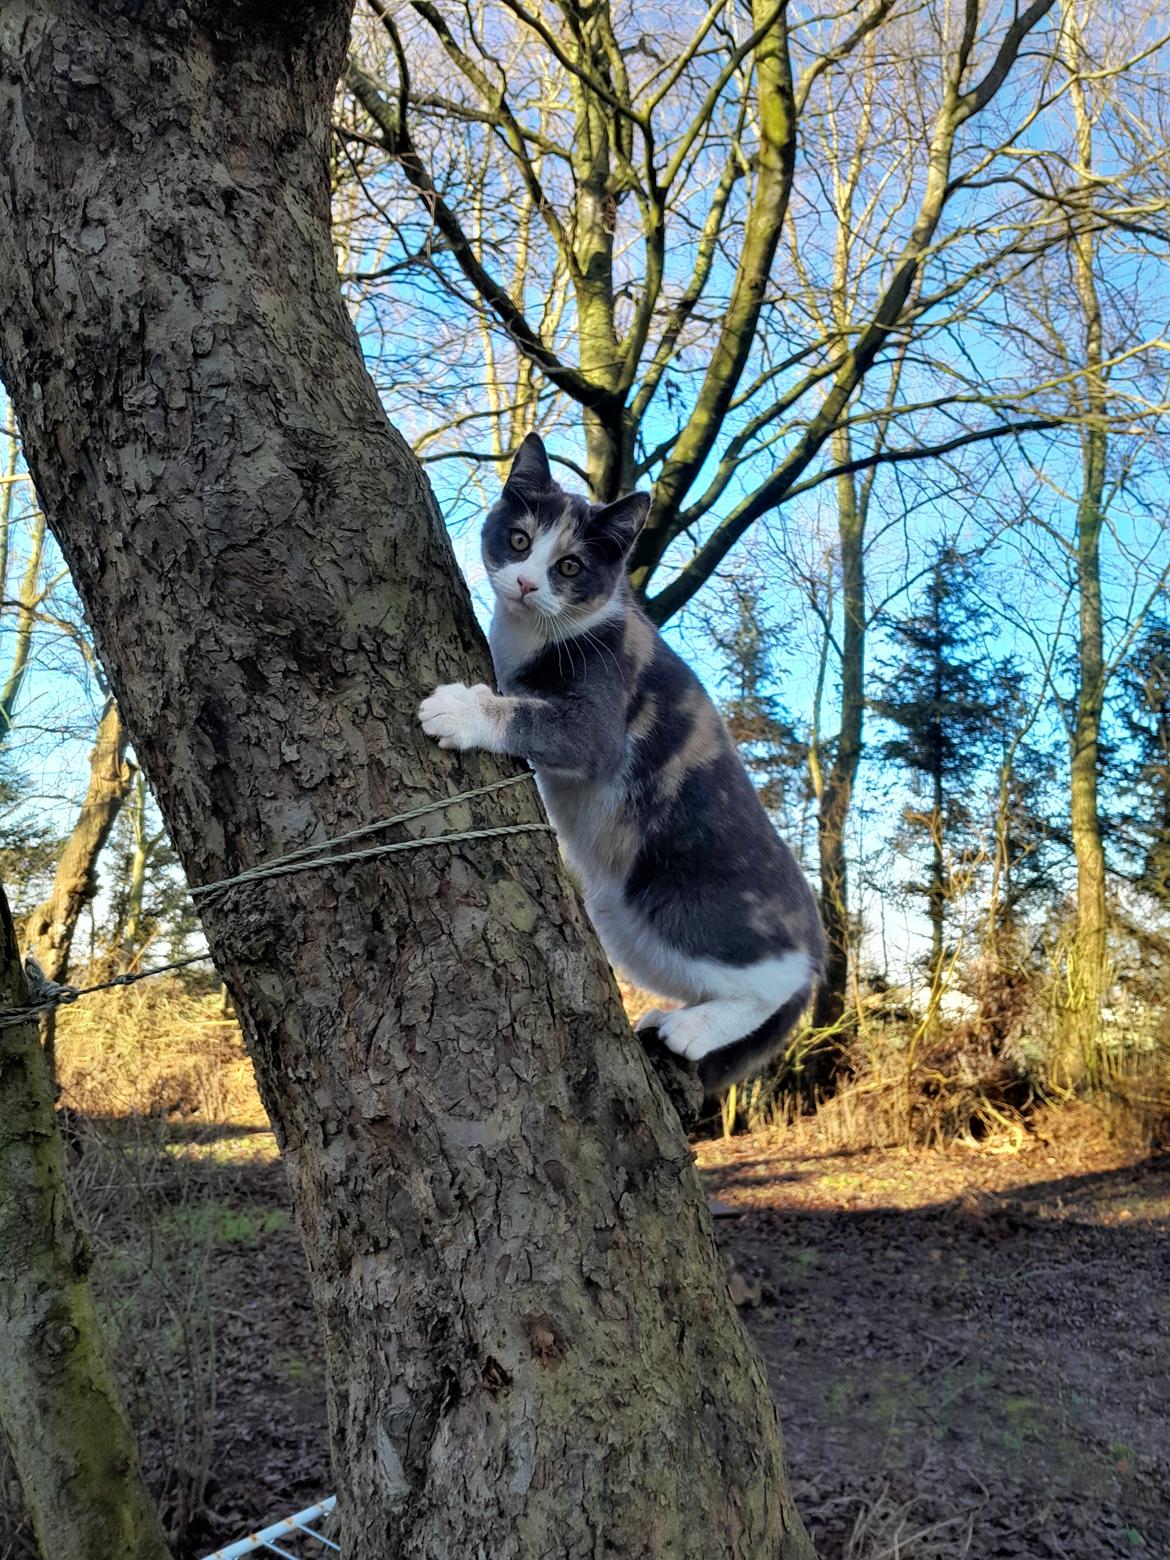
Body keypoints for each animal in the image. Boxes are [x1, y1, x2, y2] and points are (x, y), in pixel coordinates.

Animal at [421, 433, 823, 1092]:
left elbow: (543, 720)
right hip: (620, 915)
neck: (539, 631)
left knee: (771, 983)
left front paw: (460, 711)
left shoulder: (603, 708)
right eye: (519, 540)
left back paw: (695, 1028)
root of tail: (817, 943)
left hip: (688, 902)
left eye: (570, 567)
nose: (526, 583)